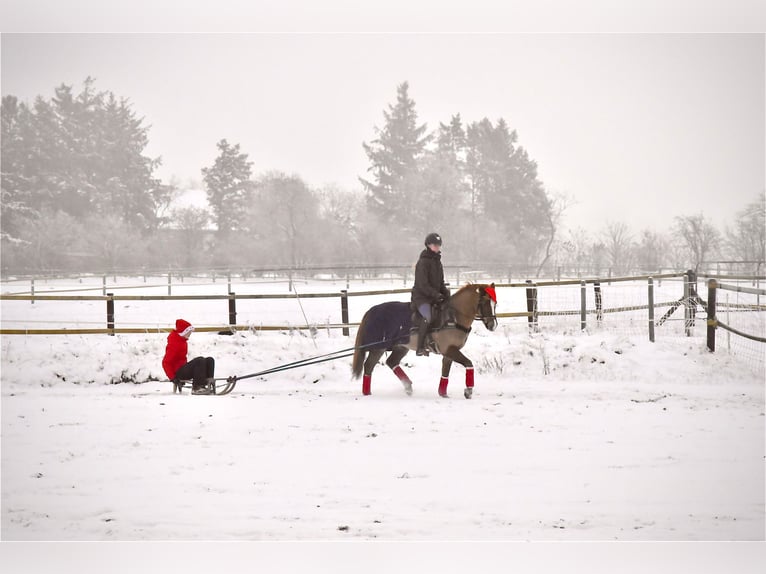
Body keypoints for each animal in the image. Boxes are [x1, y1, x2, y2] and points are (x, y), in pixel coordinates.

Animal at [352, 284, 500, 400]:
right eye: (485, 301)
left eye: (495, 304)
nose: (493, 325)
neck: (453, 317)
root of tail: (372, 310)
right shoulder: (450, 350)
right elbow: (469, 363)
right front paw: (468, 390)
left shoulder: (449, 352)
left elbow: (445, 372)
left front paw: (443, 393)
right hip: (379, 347)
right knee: (369, 365)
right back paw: (367, 392)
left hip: (401, 347)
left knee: (391, 362)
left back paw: (407, 386)